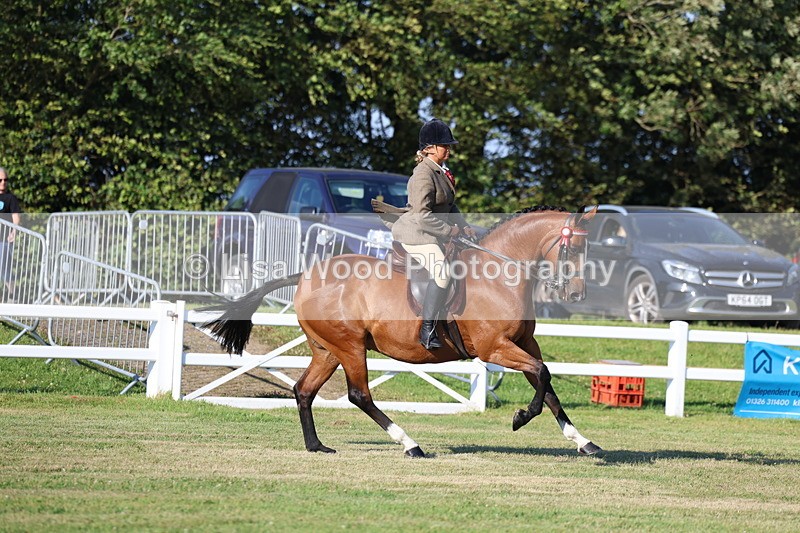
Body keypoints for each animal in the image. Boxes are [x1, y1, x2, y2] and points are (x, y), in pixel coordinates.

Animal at [205, 205, 601, 457]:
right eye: (574, 248)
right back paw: (410, 445)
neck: (499, 275)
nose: (577, 294)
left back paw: (317, 446)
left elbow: (547, 386)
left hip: (328, 349)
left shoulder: (524, 343)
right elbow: (542, 375)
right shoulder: (496, 348)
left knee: (304, 390)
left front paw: (584, 442)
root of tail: (304, 276)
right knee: (359, 395)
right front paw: (520, 418)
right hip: (351, 347)